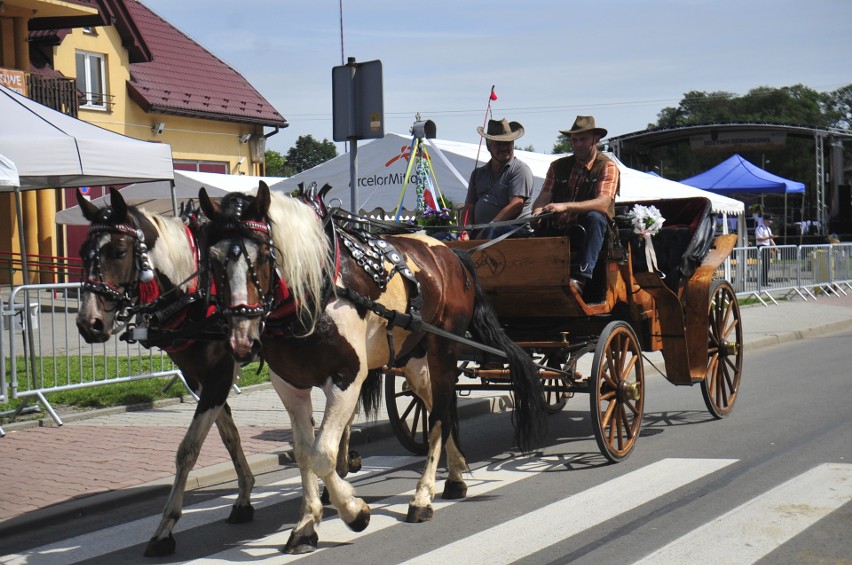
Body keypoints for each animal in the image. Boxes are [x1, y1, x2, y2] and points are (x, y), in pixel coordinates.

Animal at [75, 188, 256, 556]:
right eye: (83, 253)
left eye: (118, 251)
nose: (89, 323)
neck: (198, 288)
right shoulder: (201, 377)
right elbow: (229, 436)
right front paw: (244, 496)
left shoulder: (220, 374)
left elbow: (188, 450)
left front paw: (165, 529)